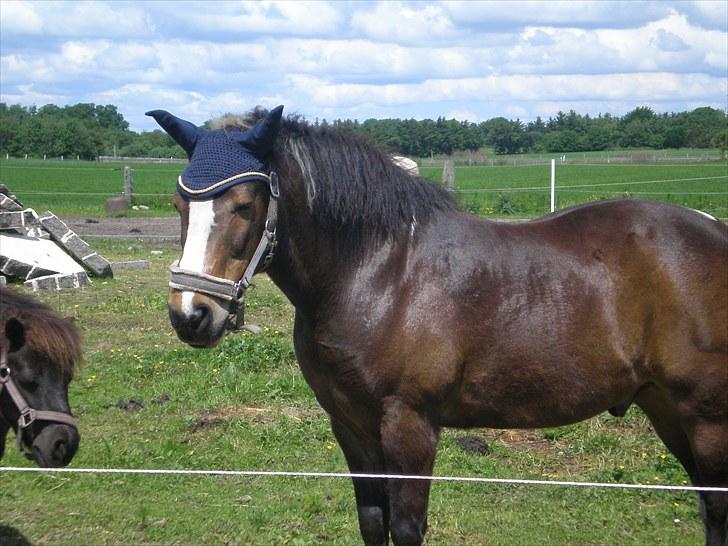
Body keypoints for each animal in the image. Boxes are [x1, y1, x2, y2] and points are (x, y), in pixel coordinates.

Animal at [148, 106, 728, 546]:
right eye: (179, 203)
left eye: (246, 205)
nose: (191, 314)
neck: (381, 272)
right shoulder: (352, 426)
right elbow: (373, 523)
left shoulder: (410, 425)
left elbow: (407, 528)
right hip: (666, 409)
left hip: (706, 419)